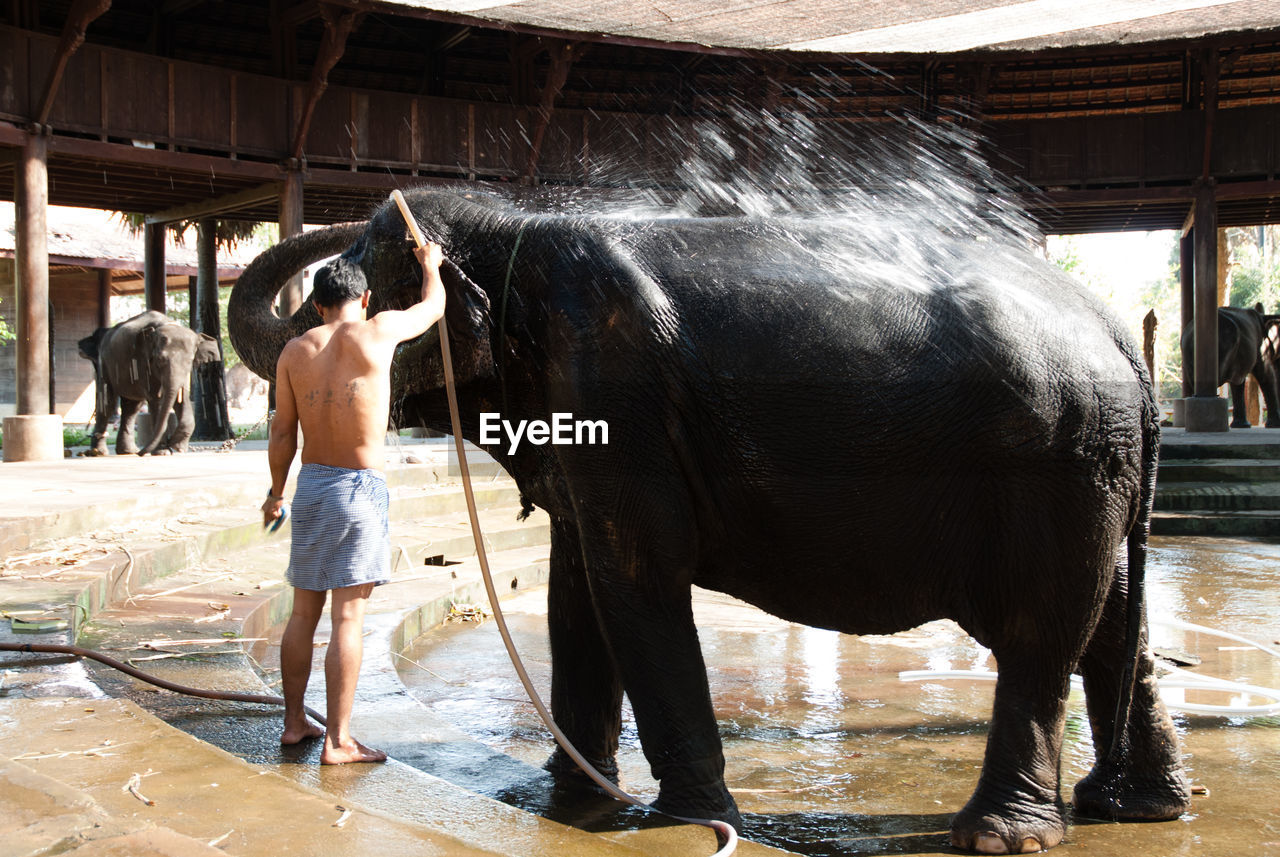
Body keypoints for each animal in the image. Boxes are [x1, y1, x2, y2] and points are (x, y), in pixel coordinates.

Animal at [78, 310, 222, 455]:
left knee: (132, 407)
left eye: (190, 361)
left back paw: (128, 451)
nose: (141, 454)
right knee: (107, 401)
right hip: (105, 364)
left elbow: (182, 399)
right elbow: (157, 399)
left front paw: (178, 447)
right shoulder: (143, 361)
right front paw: (163, 452)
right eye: (159, 360)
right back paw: (100, 452)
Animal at [227, 191, 1187, 854]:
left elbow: (634, 576)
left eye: (357, 275)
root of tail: (1125, 340)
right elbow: (577, 586)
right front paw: (571, 796)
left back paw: (1000, 836)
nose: (342, 246)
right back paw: (1137, 805)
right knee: (1113, 617)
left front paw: (686, 817)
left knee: (1043, 627)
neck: (517, 227)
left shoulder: (614, 384)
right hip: (1093, 469)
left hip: (1054, 461)